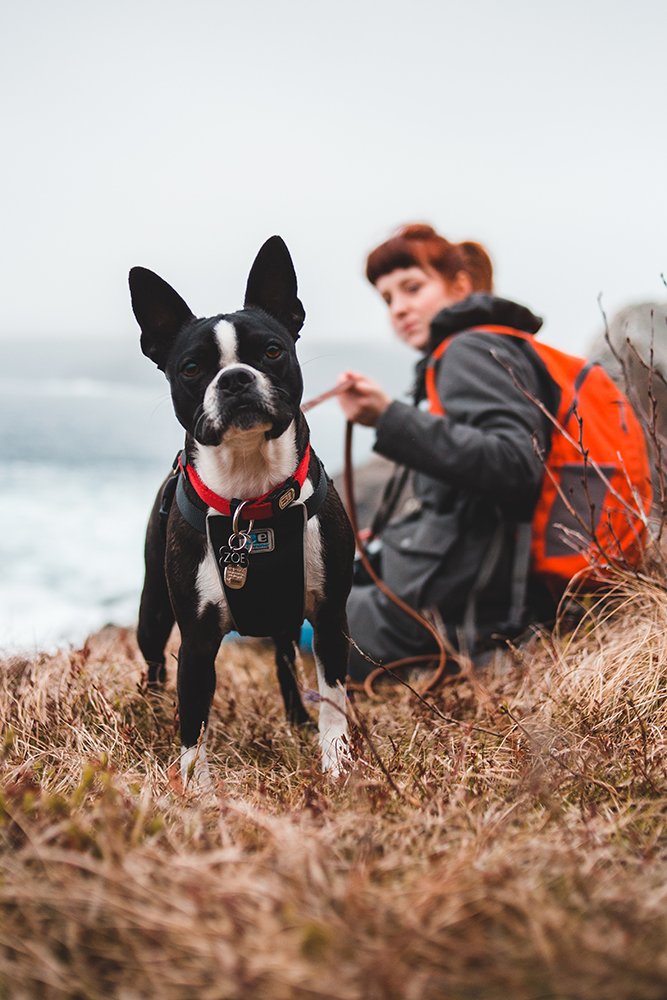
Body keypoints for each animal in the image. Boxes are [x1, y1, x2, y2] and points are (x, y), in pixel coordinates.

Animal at [126, 236, 354, 788]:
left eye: (272, 351)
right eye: (191, 369)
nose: (233, 379)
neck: (251, 497)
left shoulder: (331, 618)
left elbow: (333, 699)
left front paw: (337, 764)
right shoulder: (196, 640)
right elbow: (193, 719)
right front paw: (195, 789)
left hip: (287, 618)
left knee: (285, 663)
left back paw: (296, 720)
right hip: (152, 610)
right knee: (155, 667)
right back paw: (151, 708)